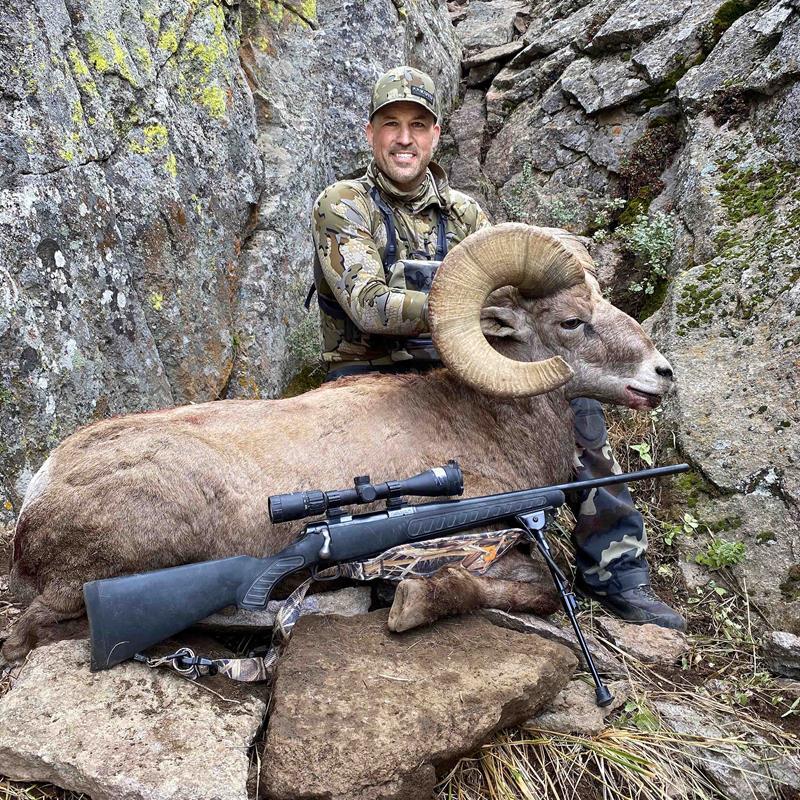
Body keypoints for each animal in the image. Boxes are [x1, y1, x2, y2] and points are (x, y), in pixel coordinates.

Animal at [2, 224, 674, 663]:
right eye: (571, 321)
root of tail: (39, 493)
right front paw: (406, 603)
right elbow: (536, 589)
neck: (484, 421)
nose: (662, 374)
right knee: (32, 633)